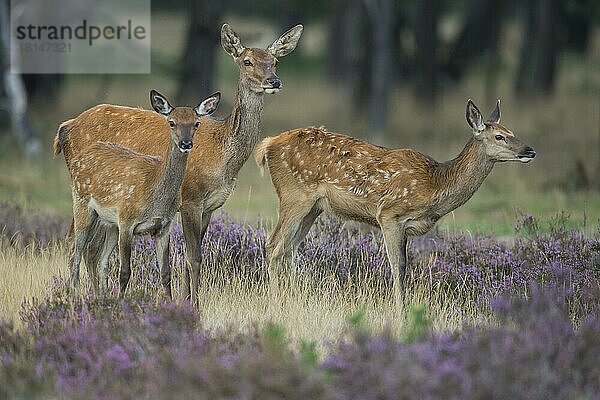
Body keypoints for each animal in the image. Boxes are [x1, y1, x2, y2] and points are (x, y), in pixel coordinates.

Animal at [53, 22, 302, 304]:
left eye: (275, 61)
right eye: (247, 61)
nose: (274, 81)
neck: (223, 158)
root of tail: (65, 128)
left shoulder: (210, 206)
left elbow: (187, 258)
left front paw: (184, 299)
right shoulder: (191, 198)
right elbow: (194, 257)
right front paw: (194, 302)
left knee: (91, 248)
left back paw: (97, 295)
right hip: (85, 194)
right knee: (75, 241)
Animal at [255, 99, 536, 300]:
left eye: (511, 131)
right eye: (499, 136)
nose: (530, 150)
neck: (435, 185)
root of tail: (267, 144)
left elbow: (405, 267)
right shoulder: (390, 214)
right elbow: (398, 267)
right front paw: (401, 311)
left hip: (314, 207)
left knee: (290, 248)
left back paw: (293, 297)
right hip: (294, 195)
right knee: (273, 245)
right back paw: (276, 300)